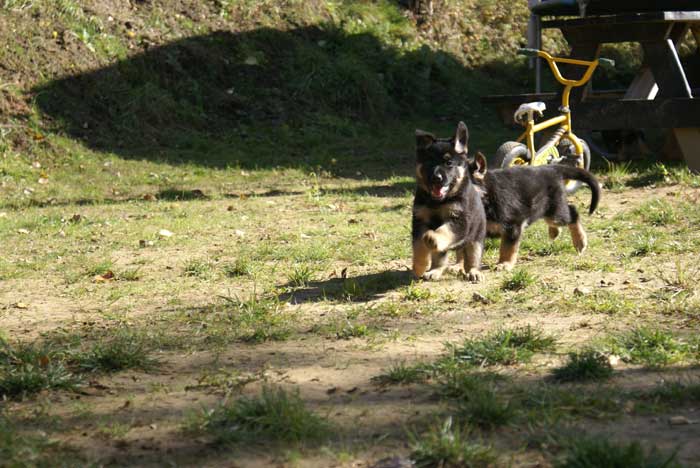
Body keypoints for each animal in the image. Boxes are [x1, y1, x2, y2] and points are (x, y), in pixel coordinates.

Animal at [410, 120, 486, 282]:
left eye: (449, 163)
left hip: (476, 238)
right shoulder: (419, 220)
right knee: (440, 258)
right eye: (429, 162)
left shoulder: (459, 221)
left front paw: (432, 236)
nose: (436, 178)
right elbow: (419, 246)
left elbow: (443, 230)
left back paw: (474, 272)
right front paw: (419, 267)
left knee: (473, 258)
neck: (437, 202)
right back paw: (435, 271)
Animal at [468, 153, 600, 270]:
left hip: (554, 212)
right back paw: (555, 232)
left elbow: (507, 248)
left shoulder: (513, 225)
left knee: (572, 212)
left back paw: (580, 242)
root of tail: (551, 168)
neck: (486, 196)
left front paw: (504, 264)